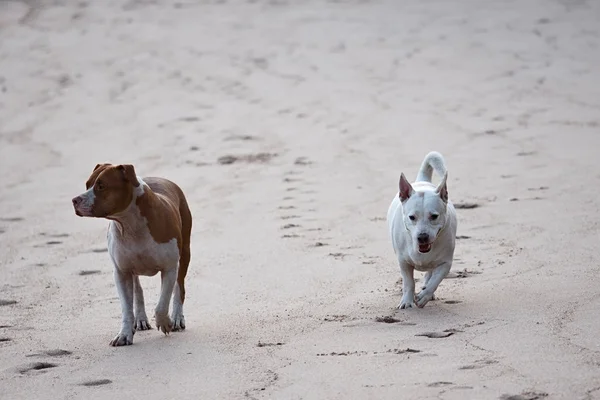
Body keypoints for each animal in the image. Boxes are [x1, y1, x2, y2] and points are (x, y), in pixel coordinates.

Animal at [72, 164, 192, 346]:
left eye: (101, 186)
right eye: (87, 184)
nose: (75, 200)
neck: (130, 224)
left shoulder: (170, 268)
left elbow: (162, 304)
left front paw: (165, 322)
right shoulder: (121, 272)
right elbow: (126, 308)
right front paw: (124, 334)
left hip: (185, 253)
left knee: (179, 287)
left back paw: (177, 317)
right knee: (137, 290)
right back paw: (141, 319)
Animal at [386, 152, 458, 308]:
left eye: (434, 216)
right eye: (412, 217)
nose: (422, 237)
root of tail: (422, 181)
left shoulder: (445, 263)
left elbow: (435, 280)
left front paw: (425, 295)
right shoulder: (403, 262)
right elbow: (409, 282)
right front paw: (407, 301)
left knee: (430, 274)